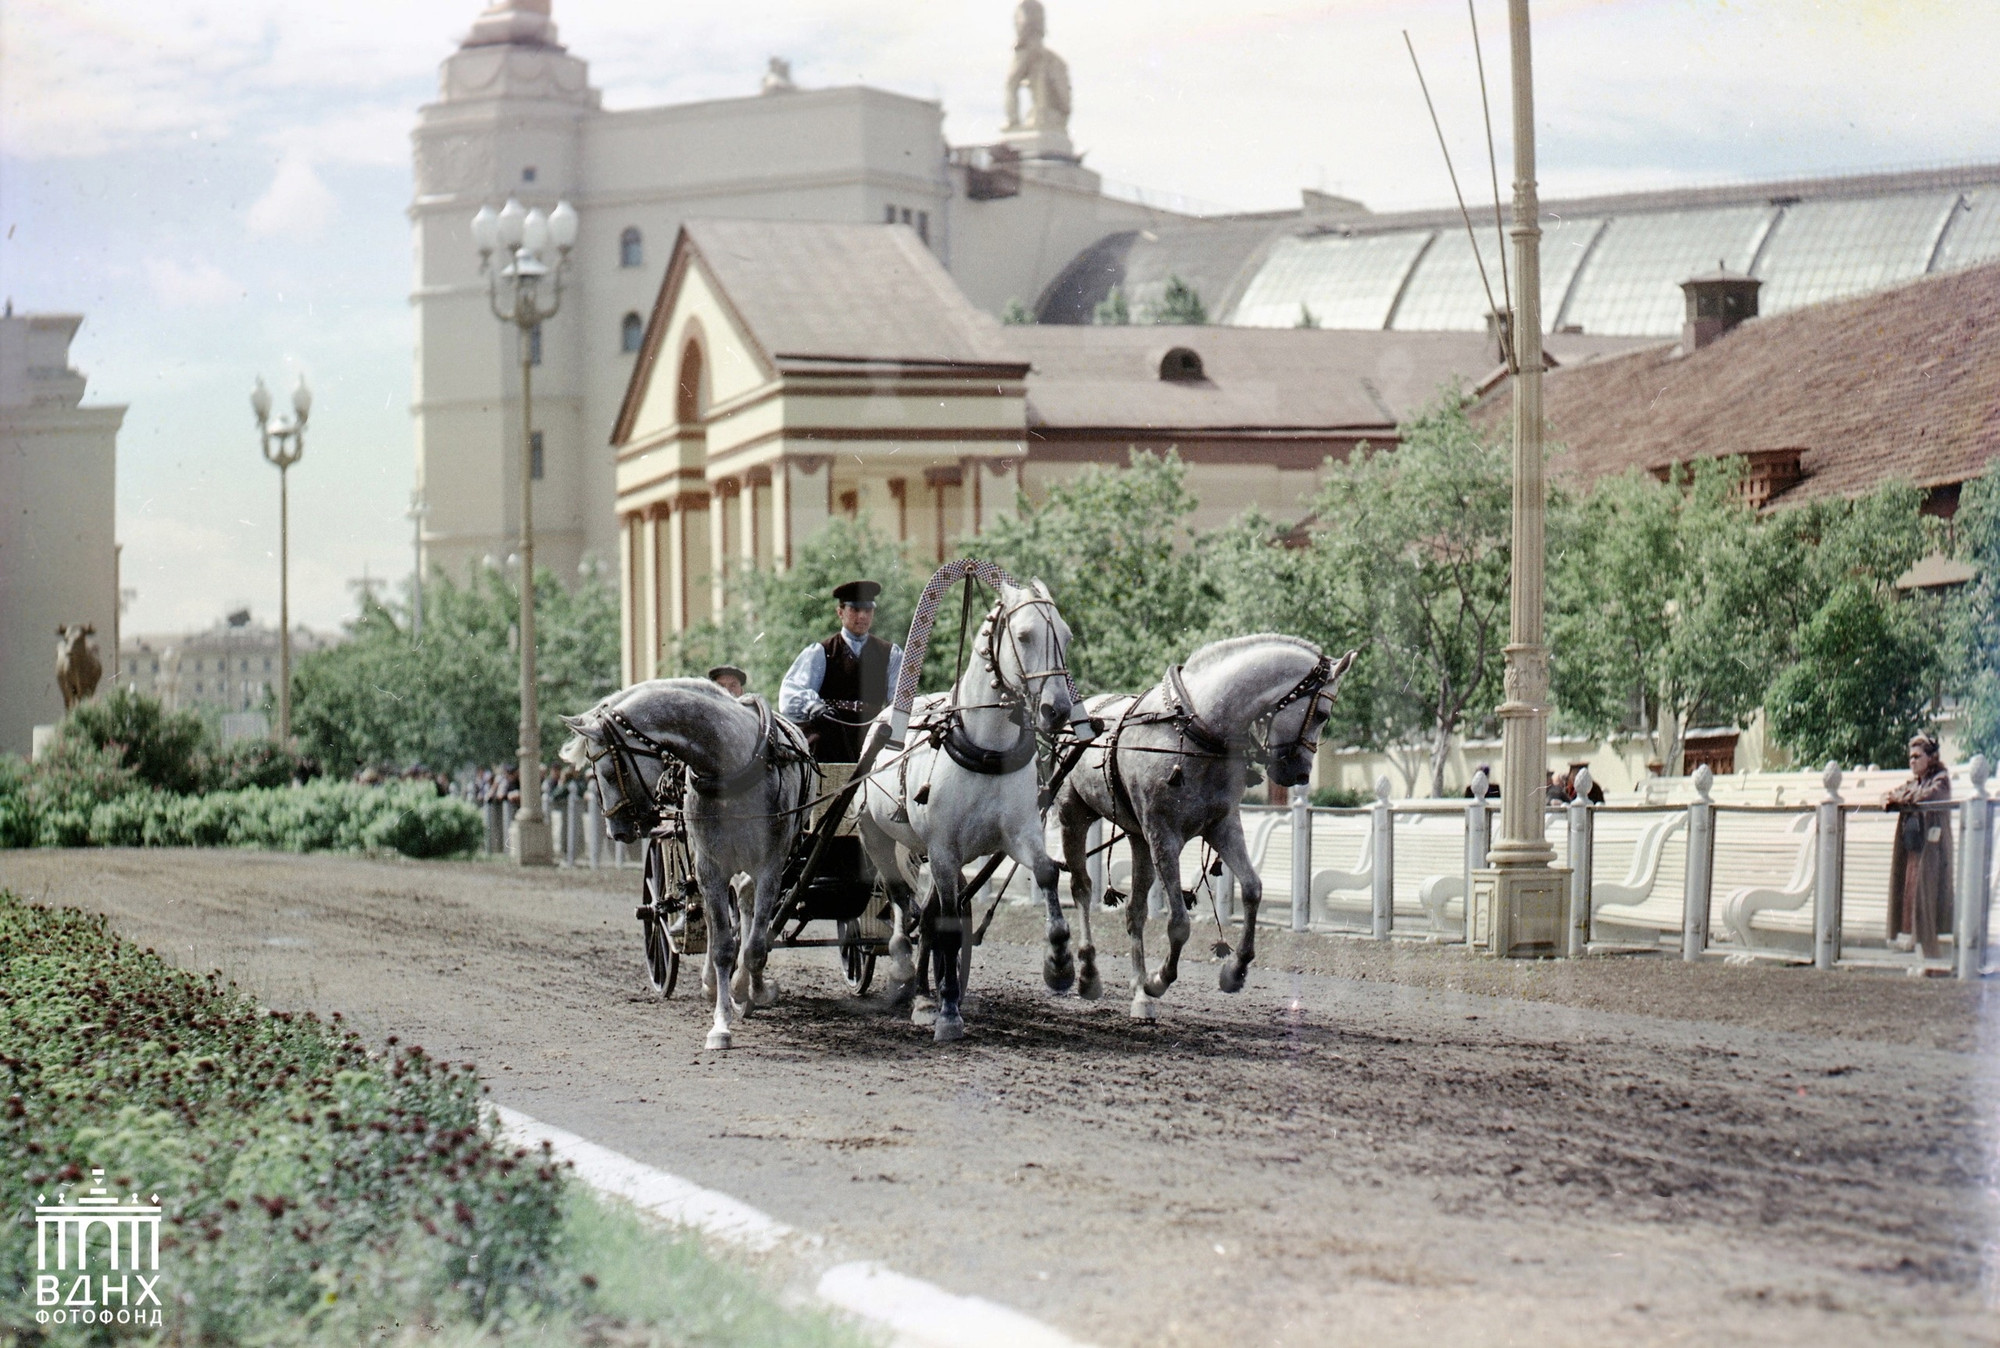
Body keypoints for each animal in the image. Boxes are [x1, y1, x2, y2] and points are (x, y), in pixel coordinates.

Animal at [556, 684, 812, 1048]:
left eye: (606, 772)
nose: (615, 831)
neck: (735, 765)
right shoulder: (710, 868)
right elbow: (722, 946)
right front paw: (721, 1024)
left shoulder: (770, 869)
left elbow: (756, 946)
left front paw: (756, 991)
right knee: (713, 920)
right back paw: (713, 981)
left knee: (745, 907)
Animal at [856, 576, 1088, 1040]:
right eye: (1024, 635)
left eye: (1067, 636)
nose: (1057, 710)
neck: (986, 750)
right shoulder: (944, 849)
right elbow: (945, 926)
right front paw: (949, 1013)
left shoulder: (1017, 834)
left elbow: (1047, 873)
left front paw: (1059, 964)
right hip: (878, 838)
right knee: (900, 898)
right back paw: (905, 972)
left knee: (925, 914)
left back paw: (923, 995)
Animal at [1048, 636, 1360, 1012]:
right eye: (1323, 715)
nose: (1299, 774)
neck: (1194, 730)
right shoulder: (1163, 834)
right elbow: (1179, 922)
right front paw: (1160, 978)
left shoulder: (1221, 826)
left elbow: (1252, 889)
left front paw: (1235, 970)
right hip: (1074, 817)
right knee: (1081, 887)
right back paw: (1086, 971)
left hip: (1138, 838)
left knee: (1134, 911)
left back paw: (1138, 988)